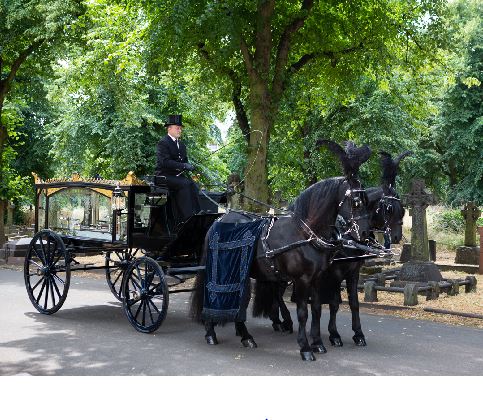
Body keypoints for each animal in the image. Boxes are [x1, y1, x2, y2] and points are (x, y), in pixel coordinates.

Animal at [191, 139, 372, 360]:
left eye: (366, 200)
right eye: (356, 201)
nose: (365, 233)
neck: (304, 232)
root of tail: (219, 220)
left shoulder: (317, 278)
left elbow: (317, 309)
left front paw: (317, 342)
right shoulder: (302, 279)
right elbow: (303, 312)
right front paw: (305, 347)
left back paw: (245, 336)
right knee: (213, 295)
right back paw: (212, 332)